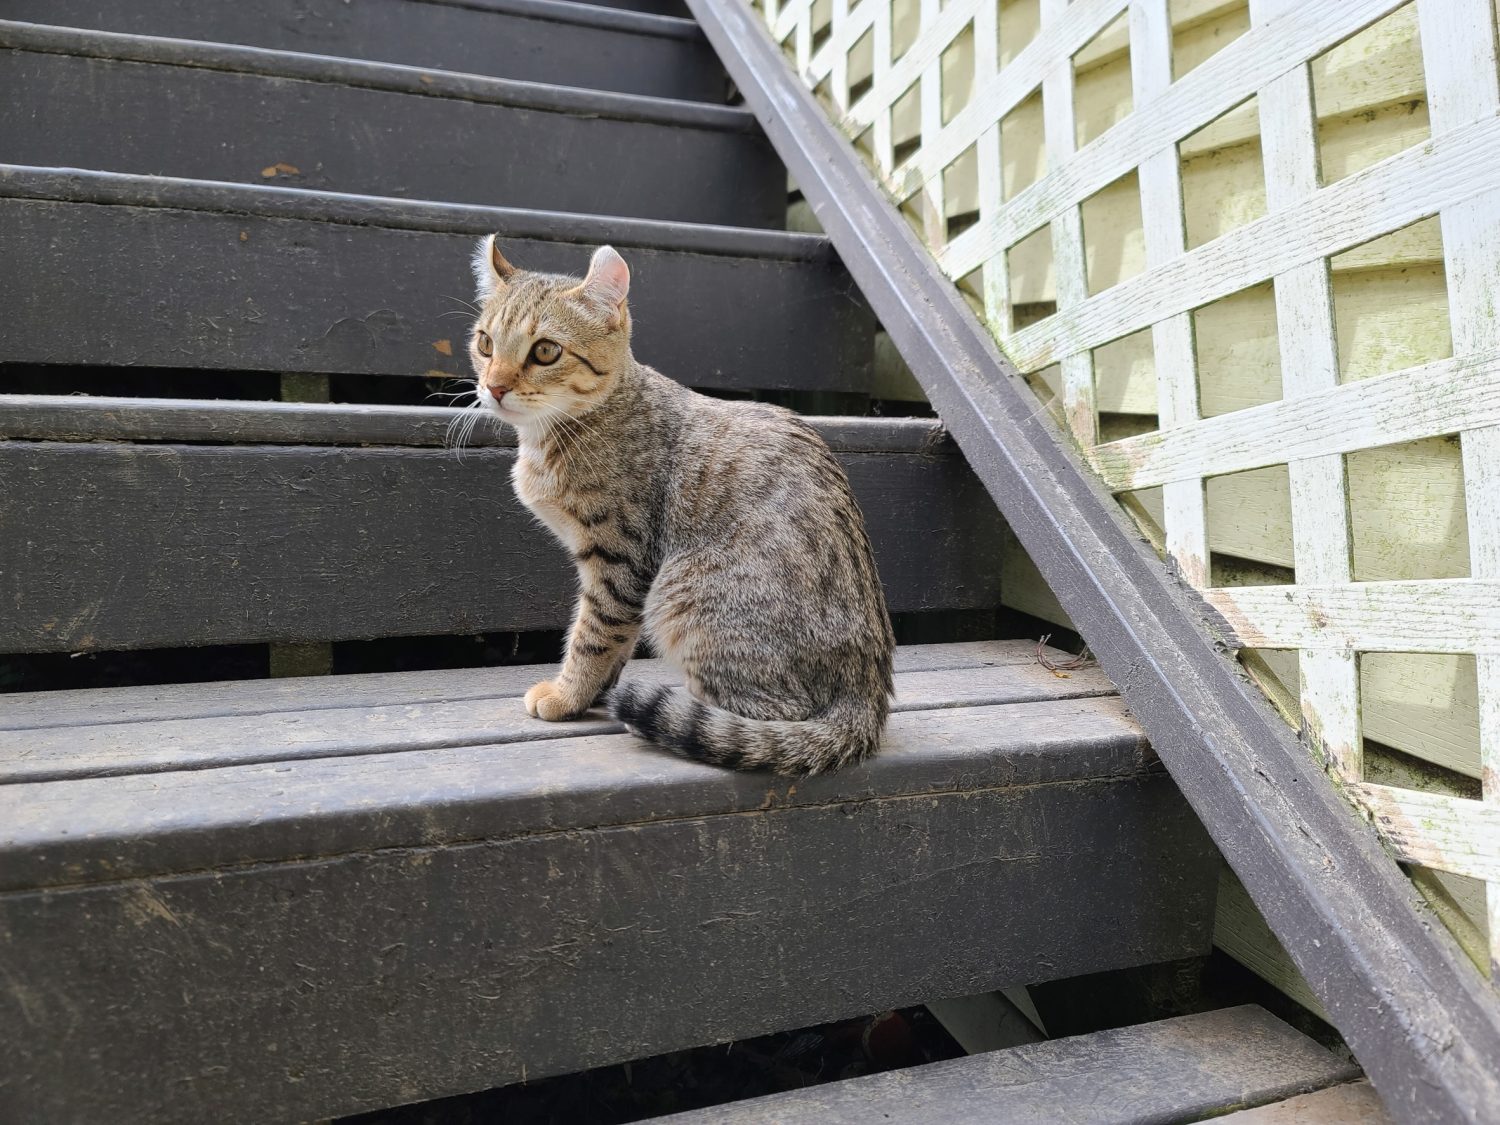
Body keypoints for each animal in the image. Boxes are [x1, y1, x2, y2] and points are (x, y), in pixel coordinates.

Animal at [465, 238, 888, 774]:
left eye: (545, 351)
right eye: (485, 344)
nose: (494, 387)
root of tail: (868, 696)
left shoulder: (620, 559)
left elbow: (593, 634)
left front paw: (566, 694)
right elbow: (612, 641)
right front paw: (592, 693)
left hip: (682, 595)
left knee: (773, 719)